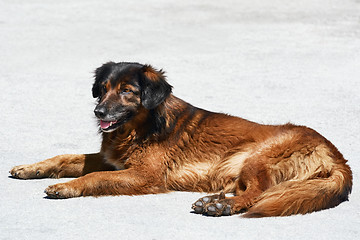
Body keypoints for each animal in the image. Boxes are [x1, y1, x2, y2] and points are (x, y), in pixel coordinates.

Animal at [9, 62, 352, 218]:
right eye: (103, 89)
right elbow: (65, 158)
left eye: (126, 91)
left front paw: (67, 187)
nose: (98, 111)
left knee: (258, 192)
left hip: (257, 157)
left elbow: (95, 177)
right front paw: (30, 168)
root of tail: (336, 154)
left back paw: (223, 207)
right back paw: (213, 201)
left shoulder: (144, 175)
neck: (138, 128)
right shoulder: (112, 158)